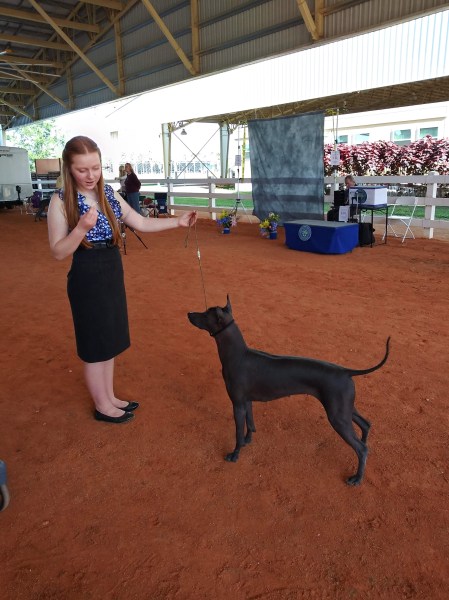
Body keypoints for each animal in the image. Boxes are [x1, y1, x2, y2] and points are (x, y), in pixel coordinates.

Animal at [188, 296, 390, 486]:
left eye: (205, 314)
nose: (189, 313)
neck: (238, 355)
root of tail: (346, 371)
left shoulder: (237, 404)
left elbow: (237, 432)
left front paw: (235, 454)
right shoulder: (246, 401)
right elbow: (250, 424)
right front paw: (247, 441)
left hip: (337, 416)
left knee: (361, 449)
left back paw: (357, 477)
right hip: (345, 408)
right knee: (366, 424)